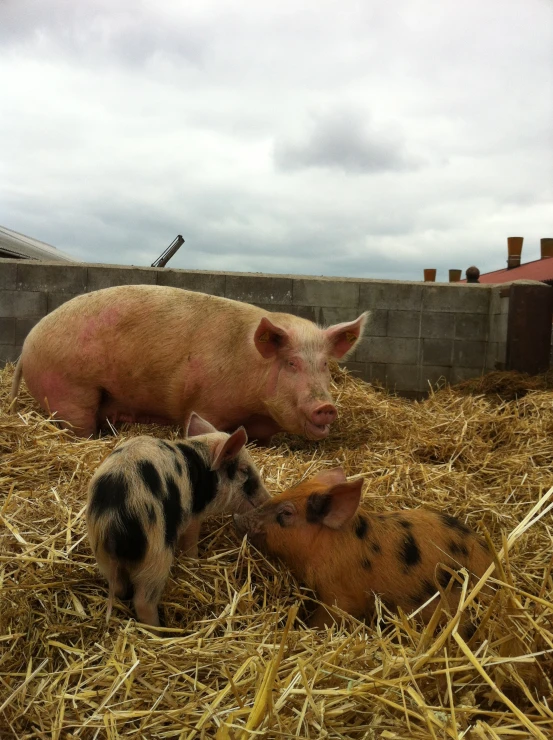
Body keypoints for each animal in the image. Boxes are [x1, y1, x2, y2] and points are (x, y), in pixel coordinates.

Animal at [10, 286, 366, 442]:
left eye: (324, 365)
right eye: (292, 363)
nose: (326, 407)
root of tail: (26, 346)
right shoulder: (205, 405)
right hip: (69, 391)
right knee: (79, 427)